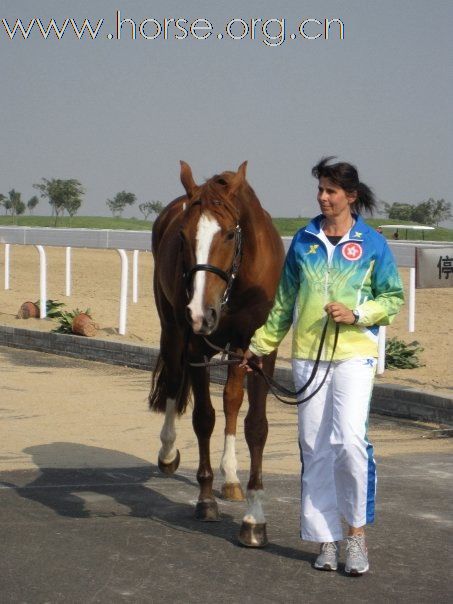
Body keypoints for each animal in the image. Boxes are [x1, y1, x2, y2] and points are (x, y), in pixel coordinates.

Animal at [150, 162, 284, 548]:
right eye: (183, 236)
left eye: (227, 235)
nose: (200, 313)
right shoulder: (197, 346)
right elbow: (203, 418)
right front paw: (206, 499)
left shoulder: (259, 350)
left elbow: (254, 424)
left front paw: (254, 518)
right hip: (172, 329)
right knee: (173, 382)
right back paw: (167, 454)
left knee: (232, 398)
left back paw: (232, 477)